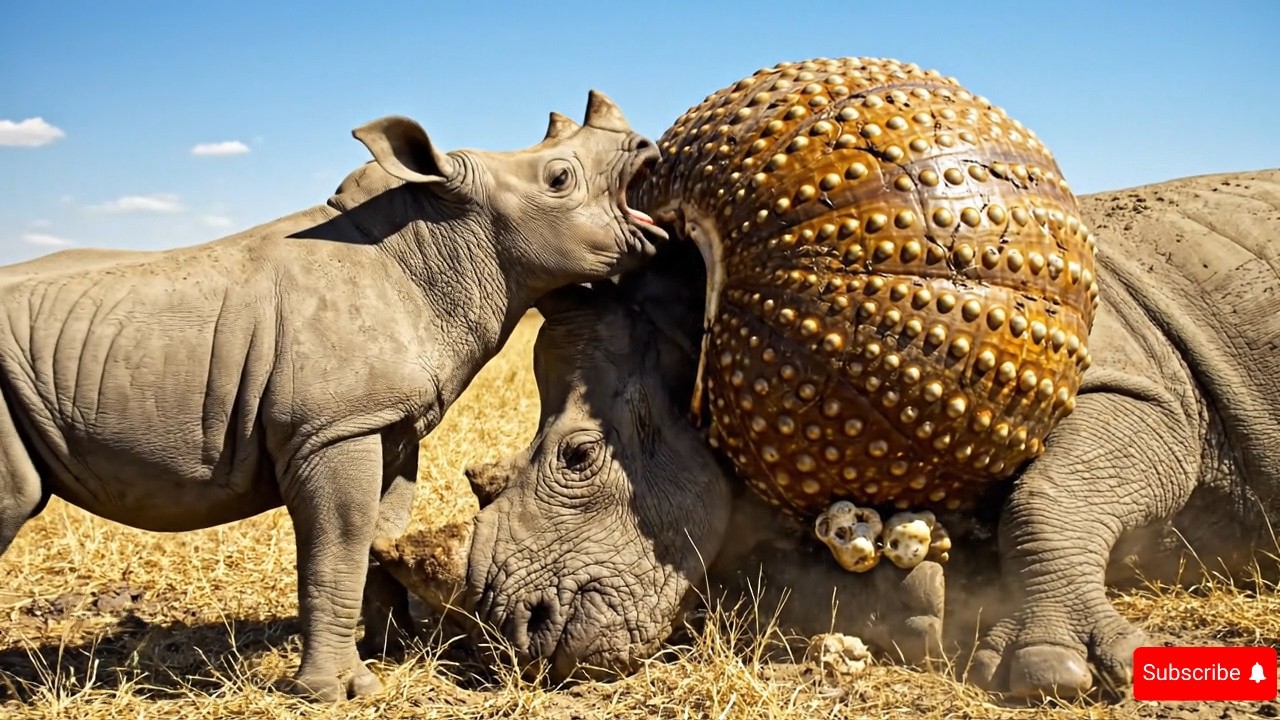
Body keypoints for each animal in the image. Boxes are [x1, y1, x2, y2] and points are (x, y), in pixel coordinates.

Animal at [0, 91, 666, 702]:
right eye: (559, 178)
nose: (645, 143)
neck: (442, 244)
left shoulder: (381, 420)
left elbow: (378, 533)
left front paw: (393, 652)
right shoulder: (332, 428)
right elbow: (338, 544)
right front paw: (342, 691)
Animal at [373, 169, 1280, 698]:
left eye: (580, 456)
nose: (518, 639)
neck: (688, 314)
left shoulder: (1130, 378)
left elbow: (1053, 492)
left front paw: (1049, 672)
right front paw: (920, 606)